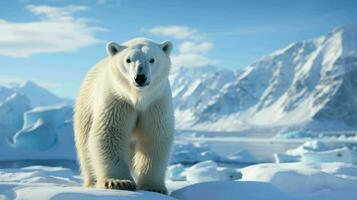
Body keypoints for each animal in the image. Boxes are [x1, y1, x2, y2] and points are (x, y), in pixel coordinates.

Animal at [74, 37, 175, 194]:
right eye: (128, 60)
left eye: (152, 59)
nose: (140, 77)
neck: (137, 98)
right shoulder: (117, 100)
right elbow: (109, 134)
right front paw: (119, 182)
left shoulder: (156, 103)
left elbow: (155, 138)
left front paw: (153, 187)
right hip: (86, 107)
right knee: (85, 147)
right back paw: (91, 182)